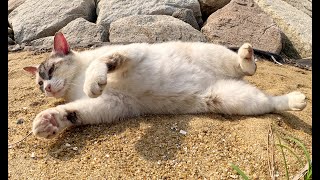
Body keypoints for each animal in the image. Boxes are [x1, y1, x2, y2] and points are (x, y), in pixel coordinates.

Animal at [23, 32, 306, 139]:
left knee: (247, 68)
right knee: (269, 102)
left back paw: (249, 58)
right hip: (228, 97)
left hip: (218, 56)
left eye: (50, 71)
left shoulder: (130, 52)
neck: (76, 82)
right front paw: (48, 121)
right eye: (38, 83)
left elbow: (101, 64)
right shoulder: (114, 103)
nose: (47, 88)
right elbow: (73, 112)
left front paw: (94, 81)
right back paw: (293, 101)